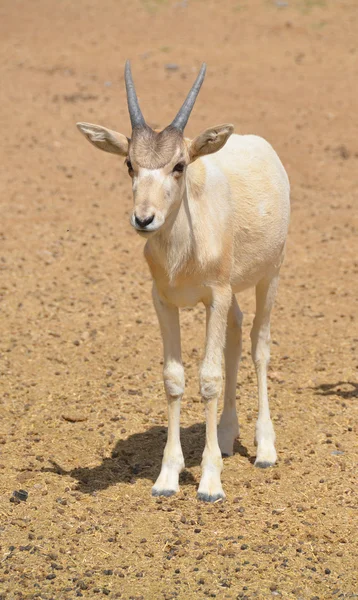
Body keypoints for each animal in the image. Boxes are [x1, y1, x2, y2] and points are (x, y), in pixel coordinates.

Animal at [77, 62, 290, 502]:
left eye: (179, 165)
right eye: (129, 164)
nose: (144, 218)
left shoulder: (215, 296)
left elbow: (208, 378)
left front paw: (209, 483)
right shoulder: (165, 300)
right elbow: (174, 379)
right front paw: (167, 477)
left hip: (270, 275)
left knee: (259, 345)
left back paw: (264, 449)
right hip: (231, 294)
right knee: (236, 335)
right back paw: (226, 437)